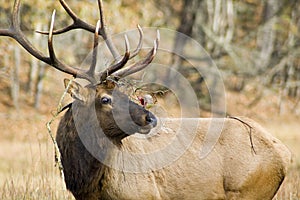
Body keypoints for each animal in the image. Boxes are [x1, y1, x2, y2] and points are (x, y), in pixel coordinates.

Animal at [0, 0, 290, 200]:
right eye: (105, 99)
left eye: (128, 94)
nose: (150, 117)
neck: (90, 187)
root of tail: (284, 154)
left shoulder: (145, 194)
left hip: (249, 190)